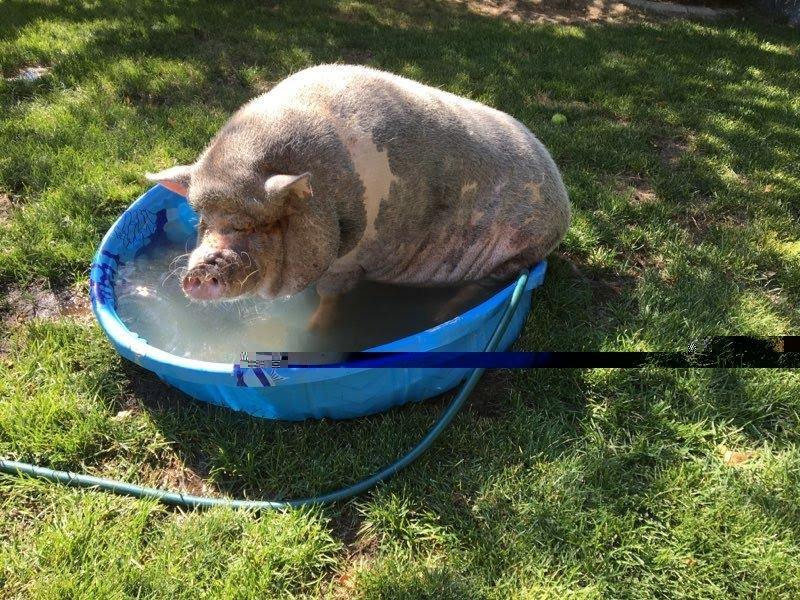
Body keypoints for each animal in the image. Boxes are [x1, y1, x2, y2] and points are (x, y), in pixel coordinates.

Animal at [146, 64, 571, 328]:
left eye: (256, 225)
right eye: (203, 222)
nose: (198, 273)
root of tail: (562, 195)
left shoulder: (353, 261)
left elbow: (329, 296)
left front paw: (313, 332)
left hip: (521, 251)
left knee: (489, 284)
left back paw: (440, 317)